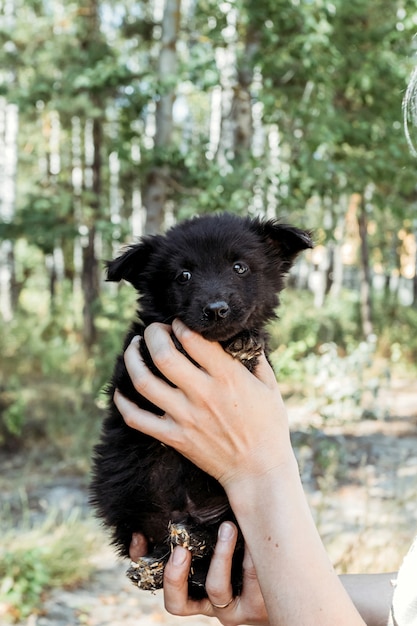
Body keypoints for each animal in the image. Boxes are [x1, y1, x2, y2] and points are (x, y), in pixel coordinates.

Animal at [91, 213, 312, 596]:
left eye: (239, 267)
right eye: (183, 275)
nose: (216, 310)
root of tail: (190, 515)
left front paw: (245, 342)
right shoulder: (135, 367)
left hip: (231, 520)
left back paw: (194, 542)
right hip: (126, 493)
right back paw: (159, 565)